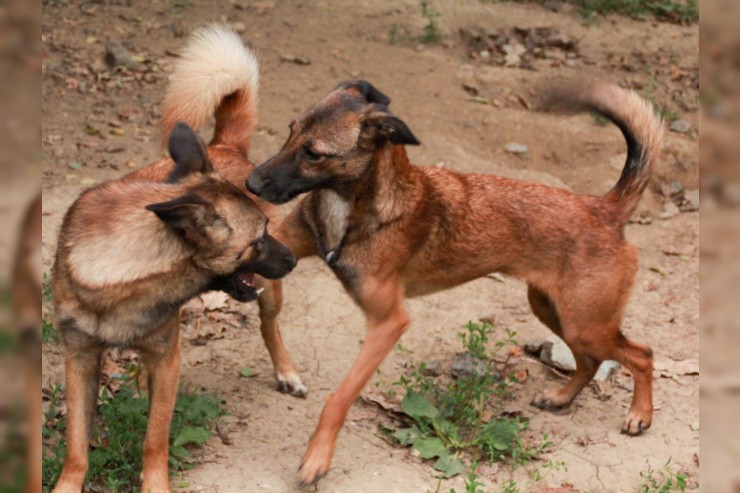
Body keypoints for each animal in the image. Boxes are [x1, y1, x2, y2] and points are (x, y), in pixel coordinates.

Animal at [50, 26, 304, 492]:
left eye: (265, 229)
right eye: (257, 239)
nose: (295, 258)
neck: (117, 280)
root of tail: (222, 145)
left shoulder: (168, 360)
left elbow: (156, 439)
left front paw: (154, 484)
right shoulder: (79, 360)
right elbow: (76, 446)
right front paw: (66, 485)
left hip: (269, 294)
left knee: (270, 326)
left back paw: (287, 372)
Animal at [246, 79, 660, 482]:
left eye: (314, 153)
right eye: (290, 131)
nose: (251, 183)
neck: (354, 206)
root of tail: (603, 207)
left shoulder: (388, 323)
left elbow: (339, 398)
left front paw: (317, 458)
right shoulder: (279, 248)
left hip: (585, 322)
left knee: (641, 354)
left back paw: (639, 415)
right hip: (554, 312)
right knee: (591, 361)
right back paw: (560, 397)